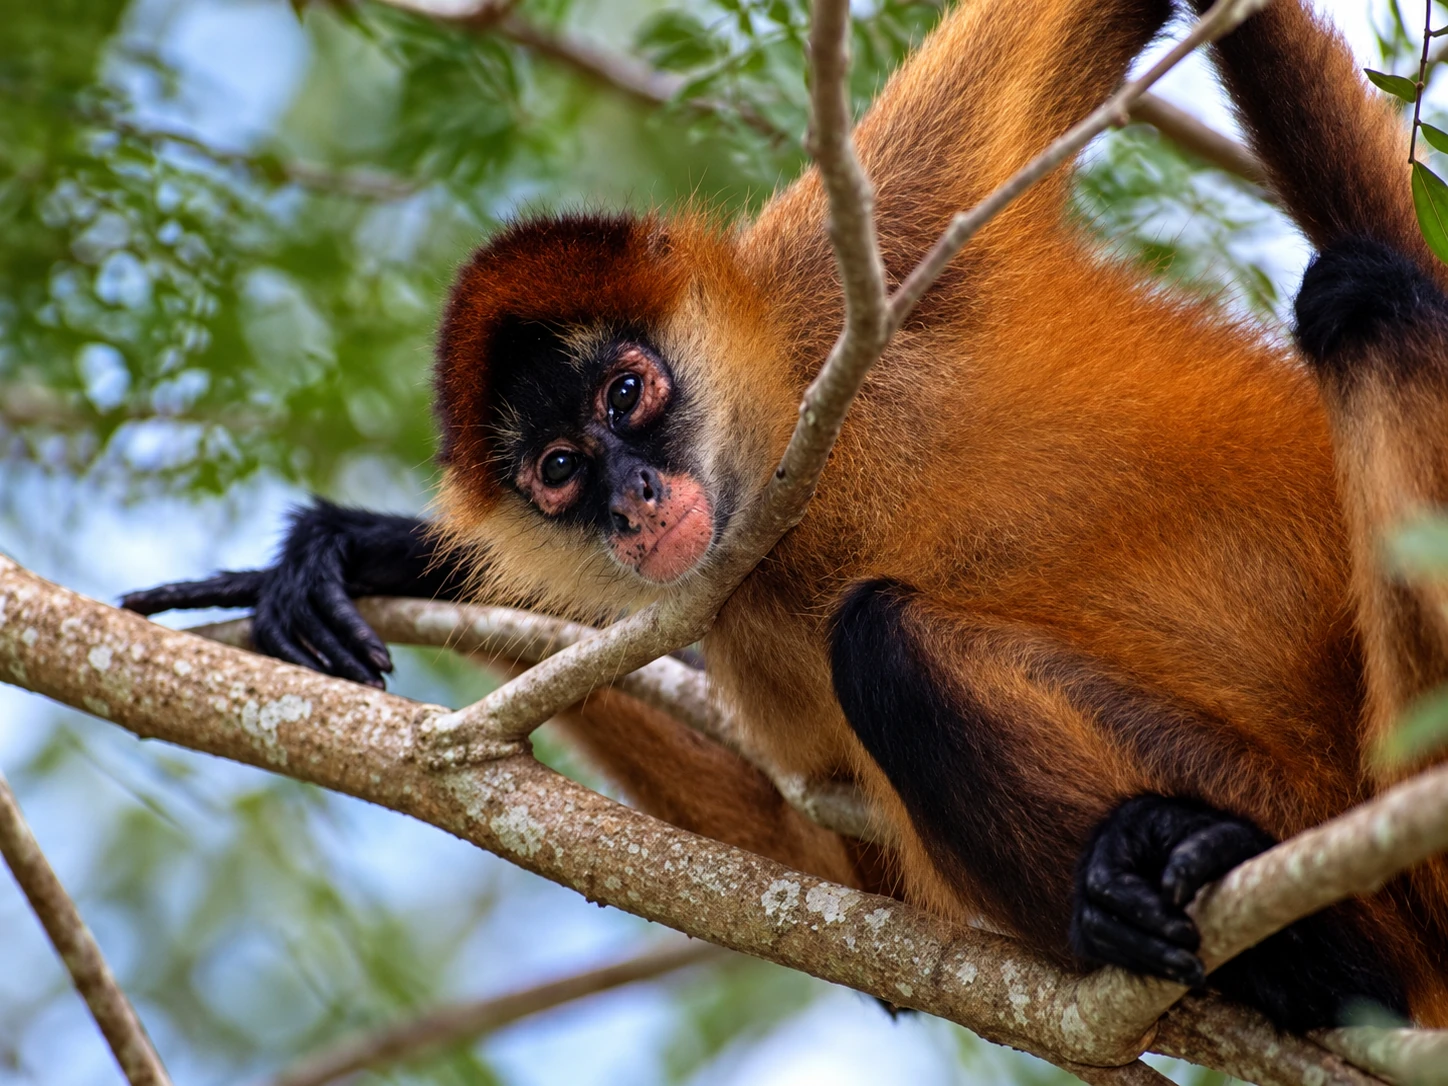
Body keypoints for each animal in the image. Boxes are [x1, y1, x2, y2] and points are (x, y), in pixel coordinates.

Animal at [123, 0, 1448, 1031]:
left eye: (626, 394)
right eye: (557, 468)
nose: (629, 498)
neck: (792, 495)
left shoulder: (846, 261)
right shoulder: (738, 617)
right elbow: (824, 876)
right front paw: (355, 555)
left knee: (1370, 295)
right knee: (882, 644)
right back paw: (1236, 929)